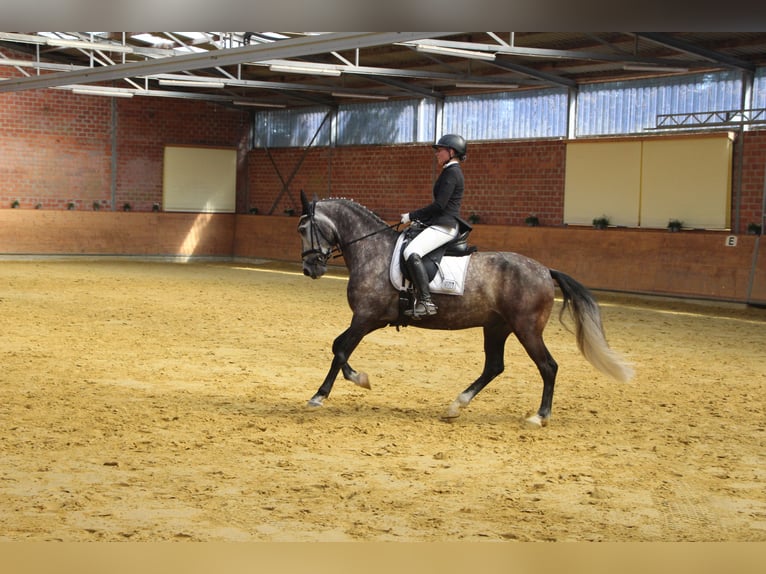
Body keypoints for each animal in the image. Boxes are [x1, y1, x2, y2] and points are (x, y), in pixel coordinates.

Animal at [297, 192, 633, 427]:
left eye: (303, 229)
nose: (310, 269)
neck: (372, 250)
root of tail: (544, 270)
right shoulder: (370, 320)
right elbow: (338, 346)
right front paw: (358, 379)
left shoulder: (366, 317)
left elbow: (340, 350)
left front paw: (322, 395)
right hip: (496, 327)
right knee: (494, 366)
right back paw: (456, 405)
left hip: (526, 329)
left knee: (547, 366)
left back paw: (539, 416)